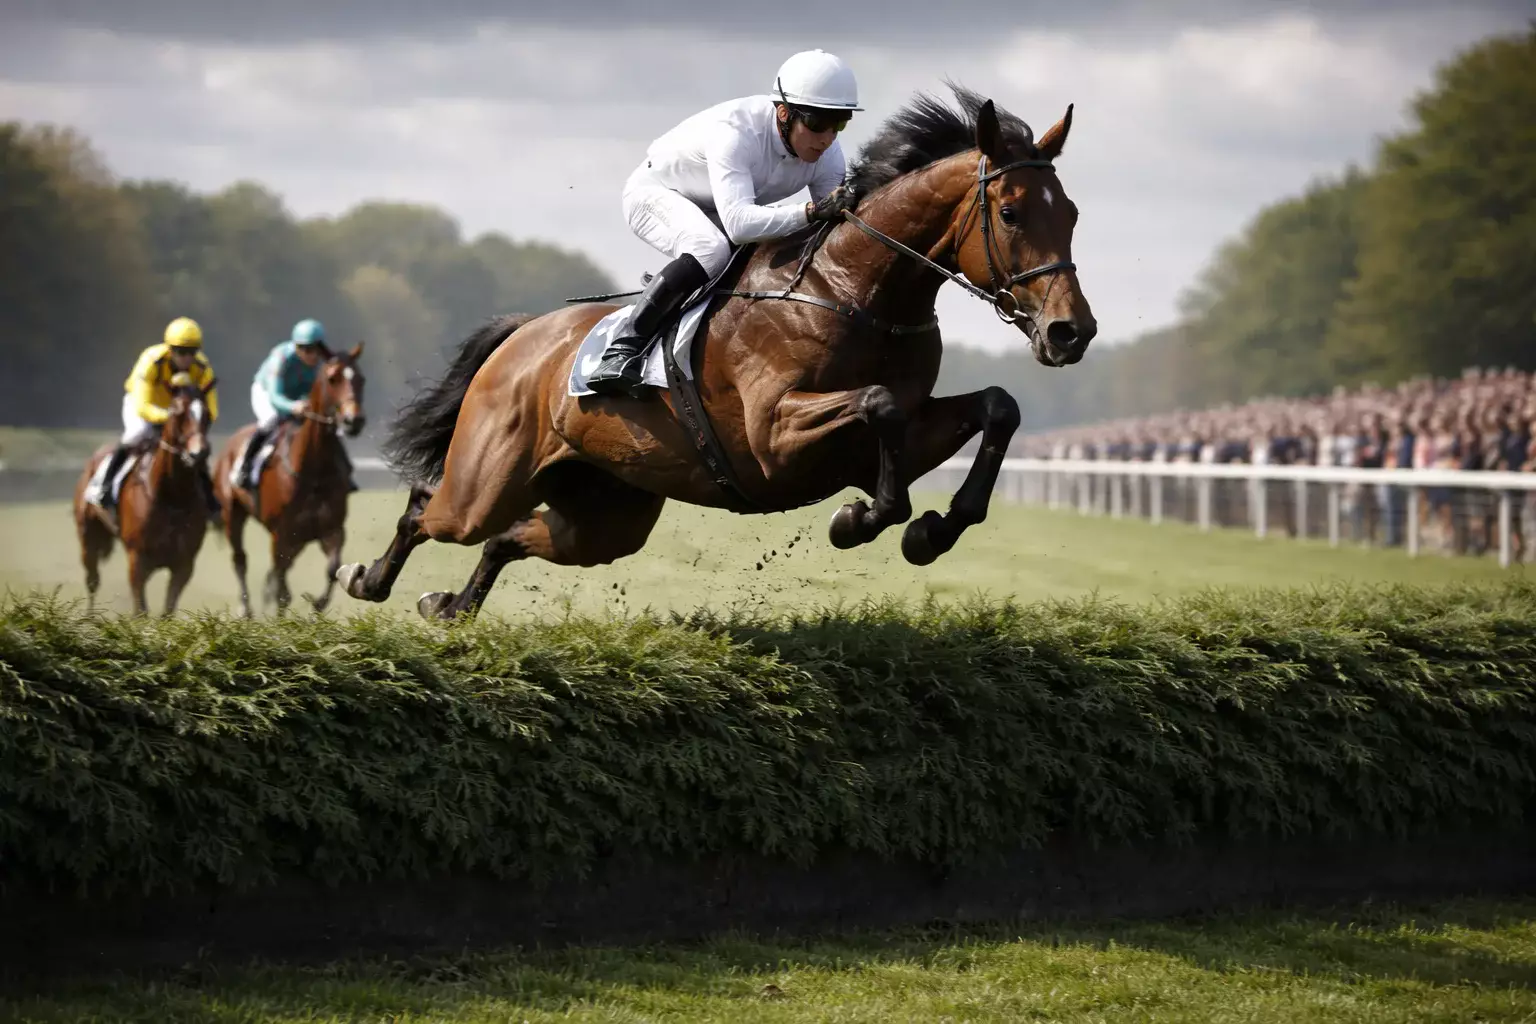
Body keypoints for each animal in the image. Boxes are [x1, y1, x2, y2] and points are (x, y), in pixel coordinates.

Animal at [73, 377, 215, 617]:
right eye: (177, 412)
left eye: (206, 413)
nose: (199, 453)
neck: (172, 495)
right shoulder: (137, 559)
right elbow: (140, 611)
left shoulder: (184, 563)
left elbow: (167, 612)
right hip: (88, 536)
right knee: (92, 580)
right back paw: (89, 617)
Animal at [211, 345, 367, 618]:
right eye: (332, 378)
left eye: (361, 379)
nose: (353, 421)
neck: (314, 472)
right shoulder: (280, 534)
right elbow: (282, 589)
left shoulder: (332, 529)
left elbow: (333, 569)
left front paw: (316, 607)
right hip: (233, 513)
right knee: (240, 559)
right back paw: (246, 609)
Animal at [337, 84, 1096, 621]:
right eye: (1011, 213)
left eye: (1072, 213)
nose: (1071, 332)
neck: (854, 291)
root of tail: (524, 337)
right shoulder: (773, 438)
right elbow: (876, 406)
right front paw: (859, 520)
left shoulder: (903, 428)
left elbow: (996, 407)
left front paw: (932, 530)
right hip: (486, 481)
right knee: (428, 507)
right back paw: (367, 578)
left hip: (605, 516)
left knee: (509, 537)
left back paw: (449, 606)